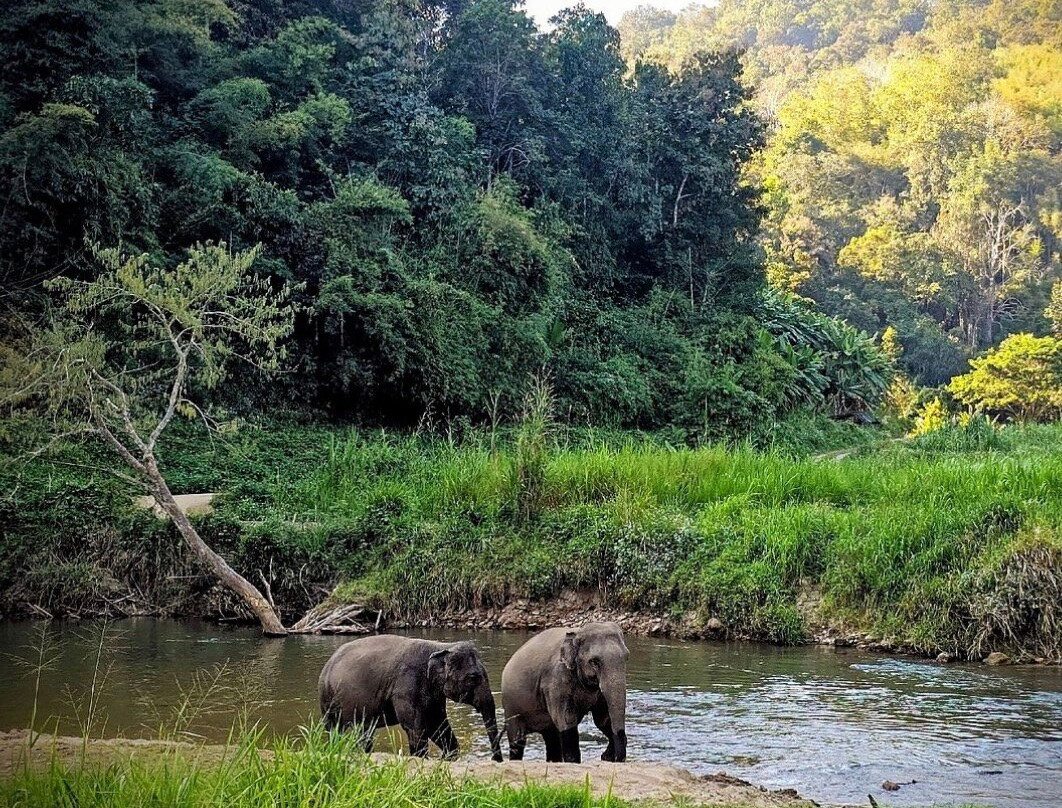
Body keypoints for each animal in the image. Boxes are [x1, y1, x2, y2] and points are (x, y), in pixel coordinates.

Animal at [319, 634, 503, 761]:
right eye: (473, 677)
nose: (496, 760)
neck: (439, 646)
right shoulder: (406, 685)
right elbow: (416, 728)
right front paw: (422, 759)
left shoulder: (433, 693)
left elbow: (437, 724)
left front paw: (446, 758)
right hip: (328, 700)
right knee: (335, 729)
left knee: (364, 731)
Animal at [501, 622, 628, 763]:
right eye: (594, 662)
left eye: (626, 658)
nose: (613, 758)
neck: (577, 632)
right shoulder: (556, 682)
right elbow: (567, 721)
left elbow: (602, 719)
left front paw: (607, 756)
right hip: (511, 706)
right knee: (517, 741)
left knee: (551, 739)